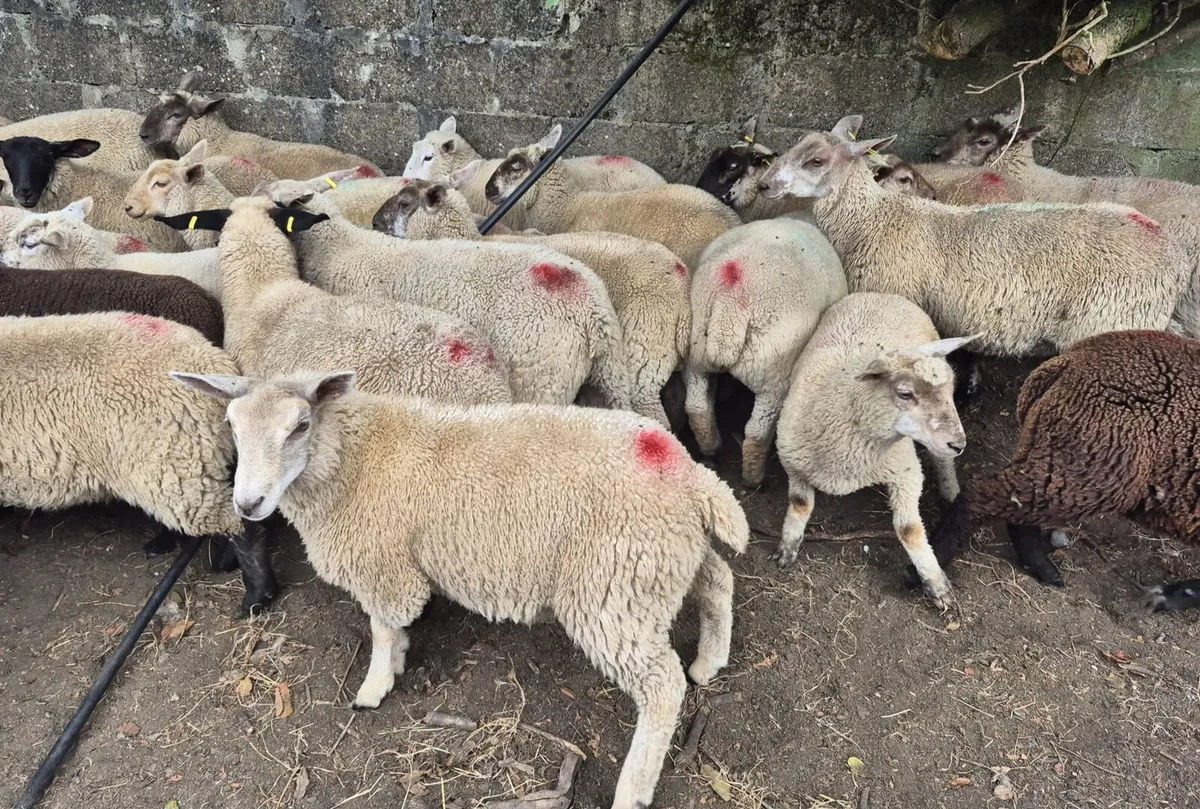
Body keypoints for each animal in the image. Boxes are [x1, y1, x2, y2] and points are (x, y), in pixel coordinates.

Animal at [172, 367, 749, 809]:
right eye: (231, 426)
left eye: (300, 425)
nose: (247, 505)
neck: (350, 460)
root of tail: (689, 475)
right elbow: (392, 627)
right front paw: (398, 660)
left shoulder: (383, 562)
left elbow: (382, 627)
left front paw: (376, 685)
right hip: (662, 561)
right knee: (717, 580)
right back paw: (709, 661)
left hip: (613, 588)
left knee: (661, 685)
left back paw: (633, 788)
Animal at [685, 219, 848, 485]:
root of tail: (730, 301)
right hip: (773, 374)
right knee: (756, 432)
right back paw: (754, 478)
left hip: (696, 354)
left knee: (697, 407)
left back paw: (711, 448)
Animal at [771, 292, 974, 609]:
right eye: (905, 393)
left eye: (950, 389)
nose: (959, 444)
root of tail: (884, 295)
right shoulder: (794, 462)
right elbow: (800, 503)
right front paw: (788, 545)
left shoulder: (905, 471)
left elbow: (909, 529)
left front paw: (934, 582)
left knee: (941, 462)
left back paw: (950, 491)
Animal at [929, 329, 1200, 612]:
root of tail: (1066, 362)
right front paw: (1170, 597)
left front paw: (1173, 595)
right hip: (1090, 467)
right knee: (981, 496)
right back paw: (927, 570)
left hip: (1053, 454)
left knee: (1016, 505)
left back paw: (1042, 568)